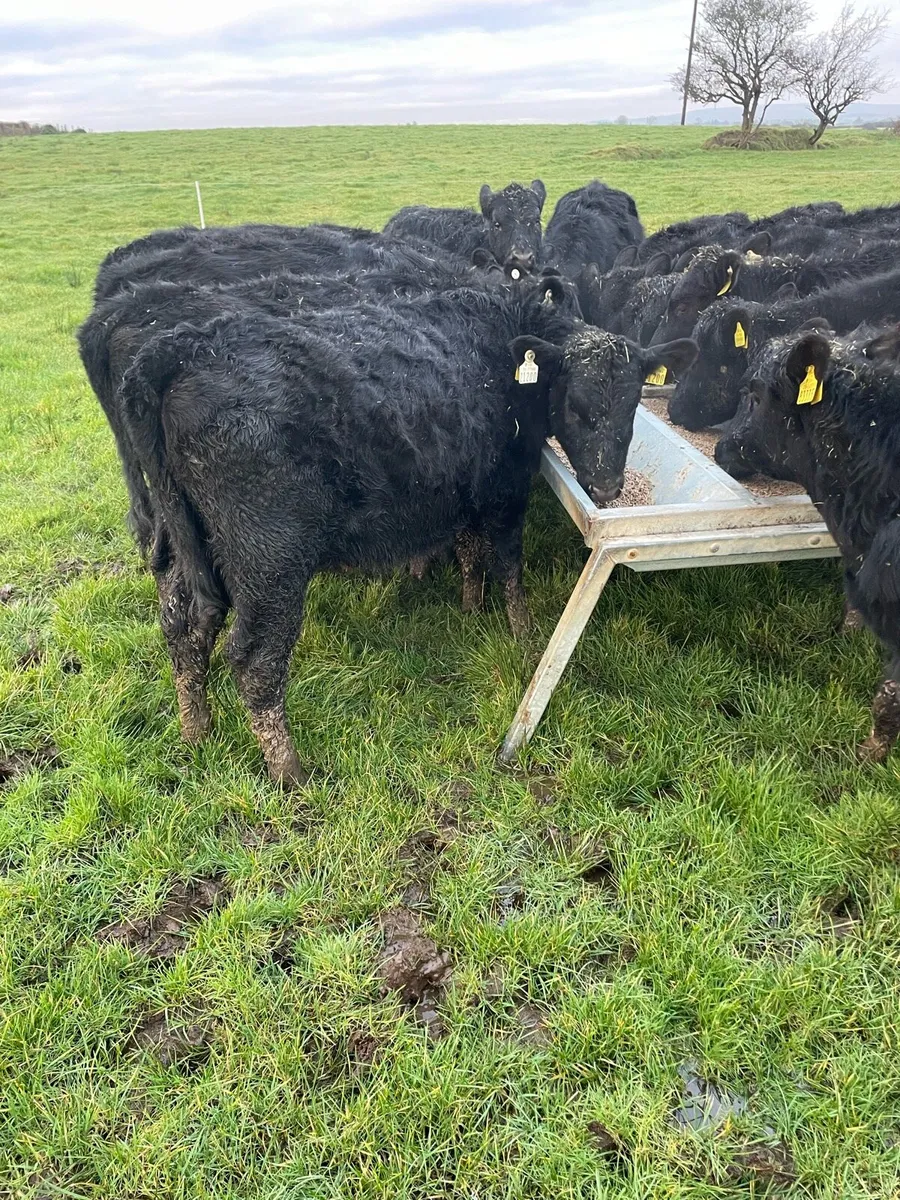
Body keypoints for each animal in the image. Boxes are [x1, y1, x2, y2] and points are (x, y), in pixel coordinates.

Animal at [119, 281, 694, 784]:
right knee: (255, 661)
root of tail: (180, 348)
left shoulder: (465, 491)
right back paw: (290, 772)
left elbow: (469, 550)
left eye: (633, 402)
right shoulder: (506, 488)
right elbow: (508, 563)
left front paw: (469, 607)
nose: (607, 484)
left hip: (189, 546)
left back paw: (197, 731)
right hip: (270, 560)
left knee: (184, 627)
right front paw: (523, 631)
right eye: (576, 404)